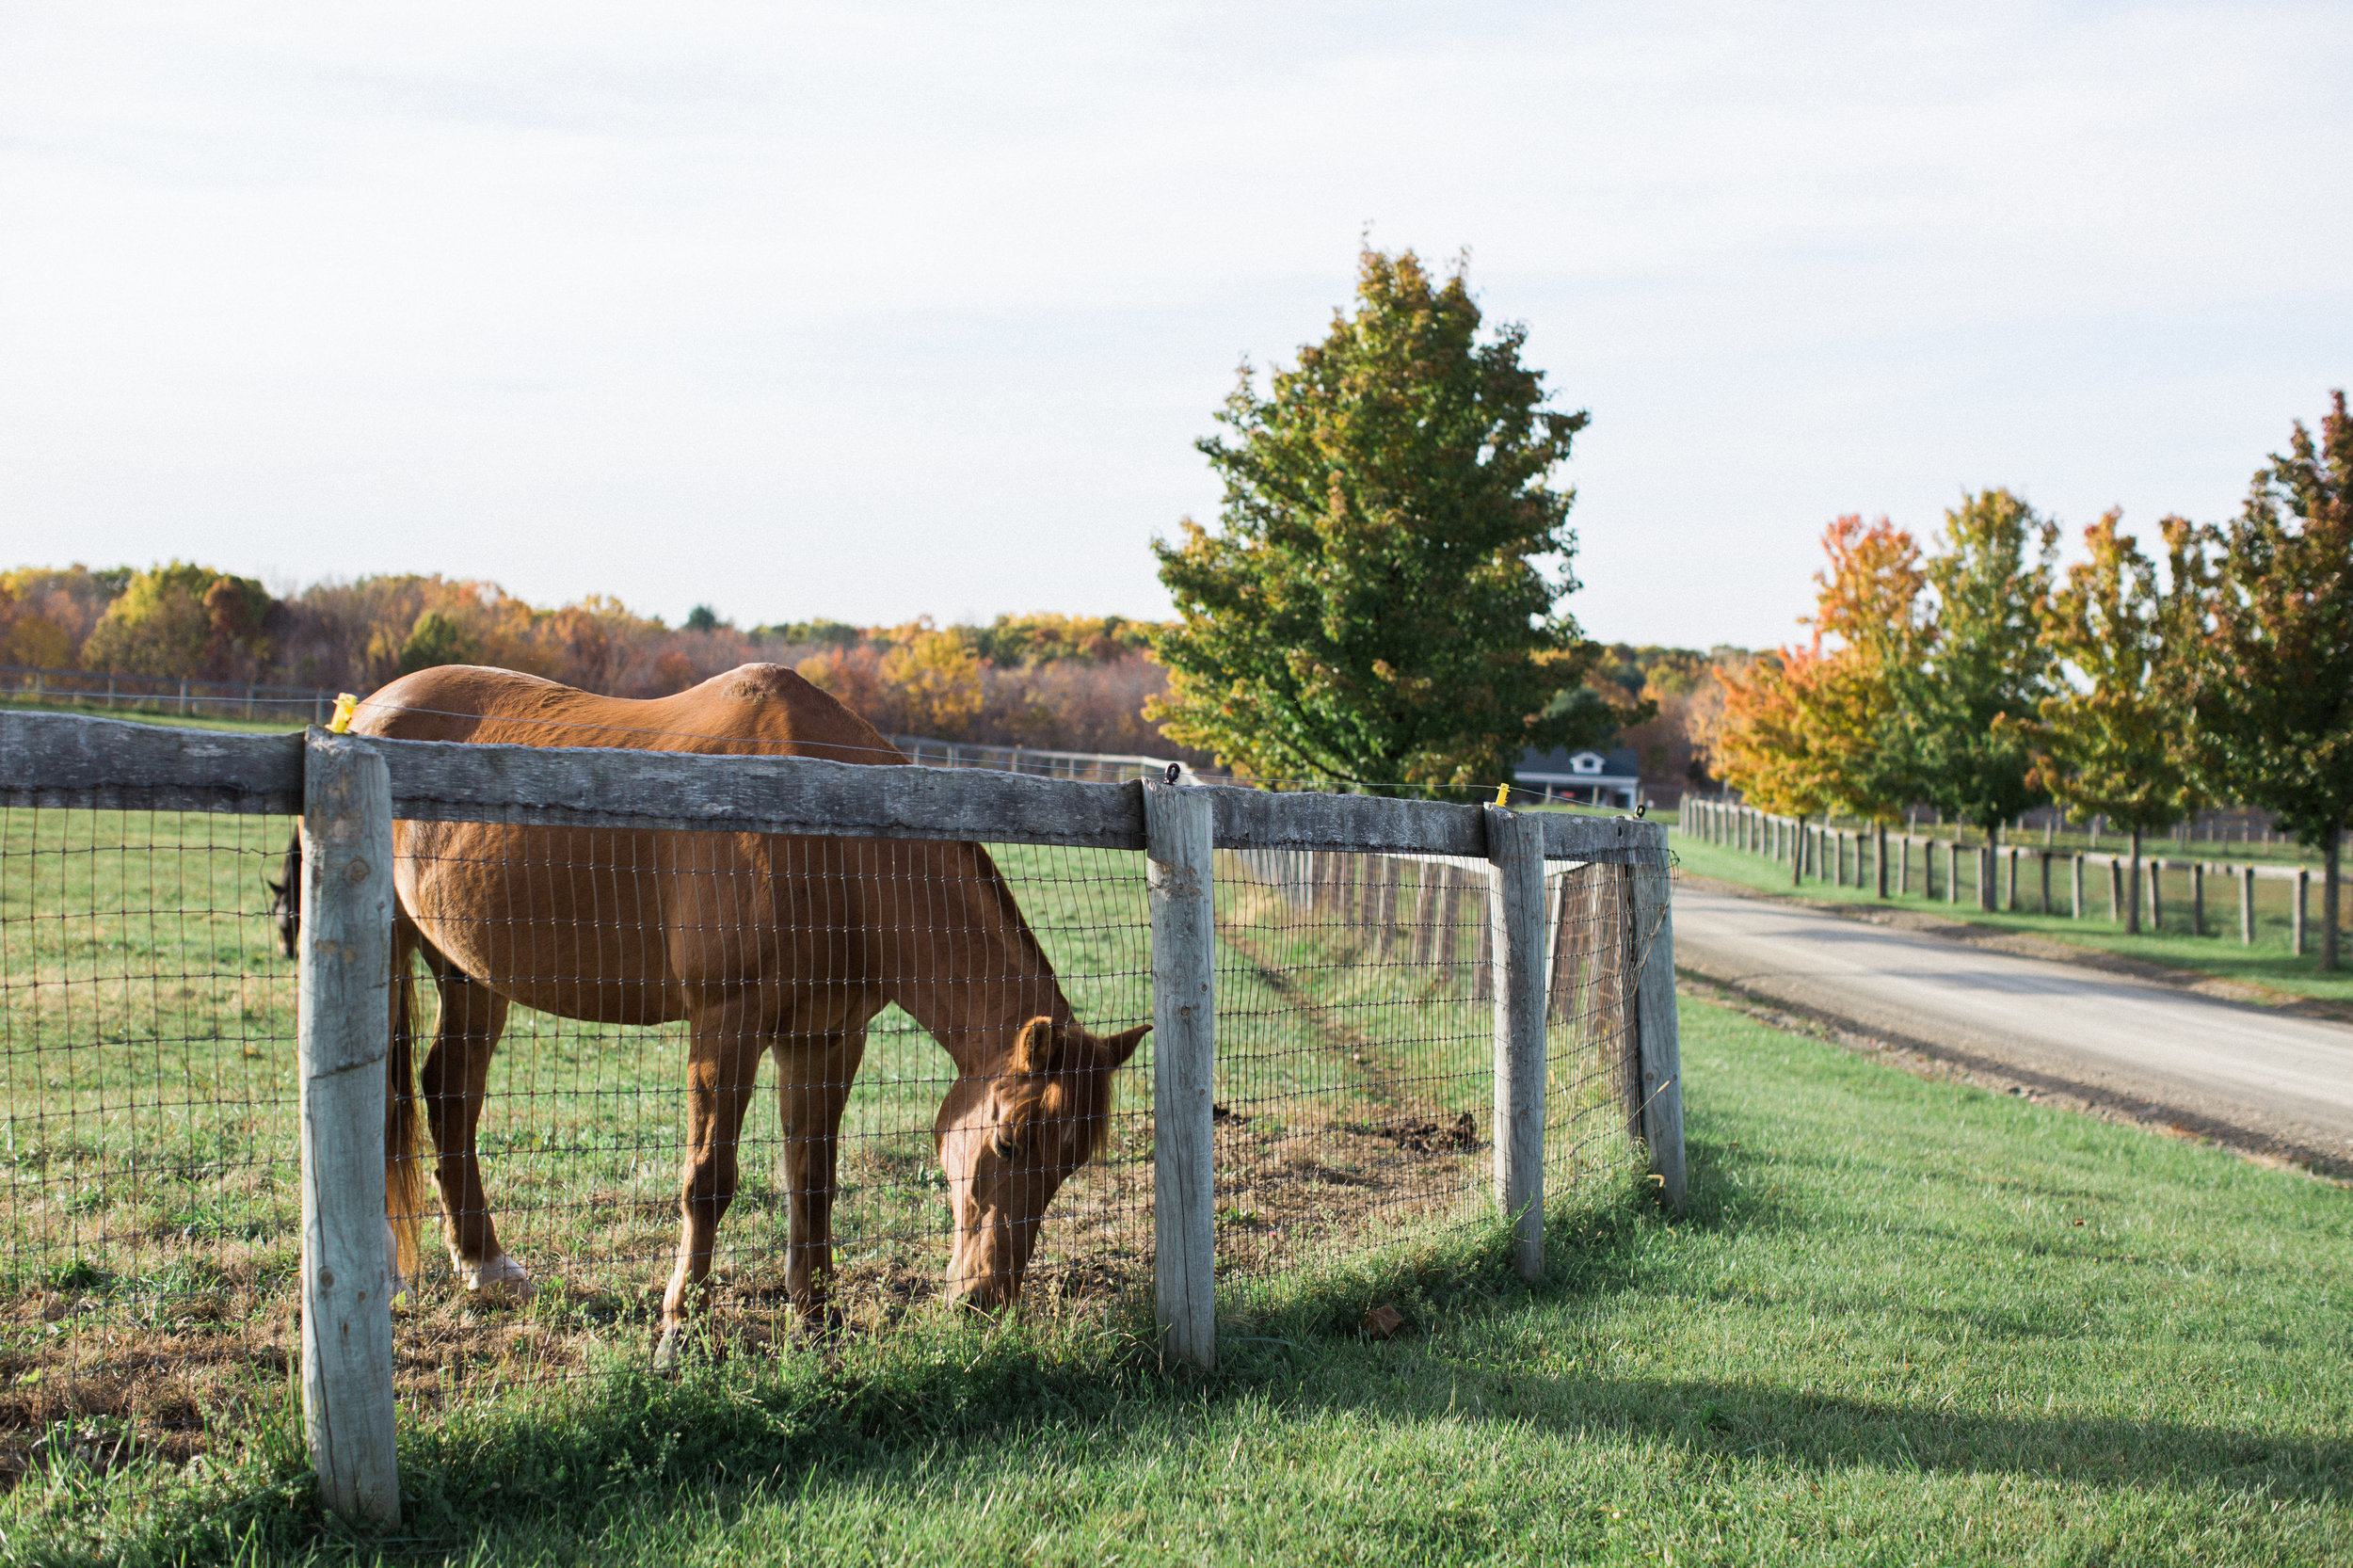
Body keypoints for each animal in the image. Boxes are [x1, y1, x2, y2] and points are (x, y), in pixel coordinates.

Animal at [301, 659, 1139, 1346]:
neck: (829, 837)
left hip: (470, 973)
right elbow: (708, 1181)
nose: (985, 1300)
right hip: (394, 955)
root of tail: (363, 715)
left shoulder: (826, 1038)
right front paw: (682, 1330)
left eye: (1071, 1163)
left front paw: (817, 1318)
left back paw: (484, 1267)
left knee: (451, 1093)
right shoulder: (725, 1027)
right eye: (1010, 1143)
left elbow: (814, 1176)